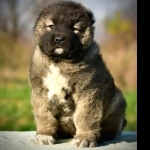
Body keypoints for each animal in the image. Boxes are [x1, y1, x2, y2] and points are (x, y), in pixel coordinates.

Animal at [29, 0, 126, 148]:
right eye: (51, 26)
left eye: (74, 28)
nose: (59, 39)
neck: (60, 61)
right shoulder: (40, 92)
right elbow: (43, 115)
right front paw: (44, 135)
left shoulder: (88, 91)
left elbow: (85, 116)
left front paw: (84, 138)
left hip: (117, 101)